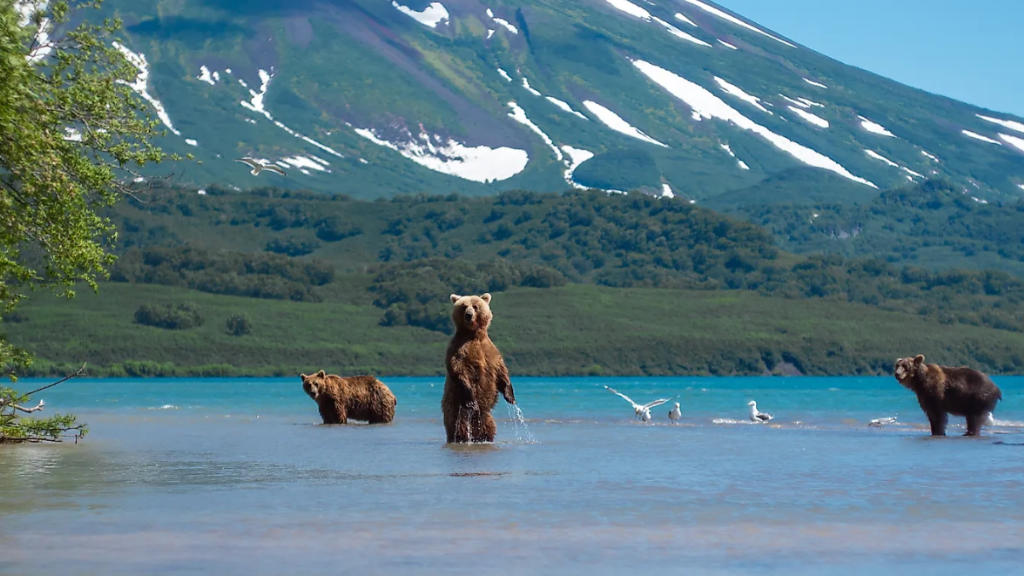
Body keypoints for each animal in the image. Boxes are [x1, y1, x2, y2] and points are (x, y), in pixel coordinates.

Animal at [442, 293, 516, 443]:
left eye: (475, 306)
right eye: (464, 306)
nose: (468, 315)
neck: (473, 334)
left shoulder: (489, 351)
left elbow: (501, 371)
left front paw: (510, 395)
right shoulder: (458, 349)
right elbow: (458, 369)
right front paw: (471, 399)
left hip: (485, 415)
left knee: (489, 427)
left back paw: (484, 438)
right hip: (456, 406)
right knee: (459, 426)